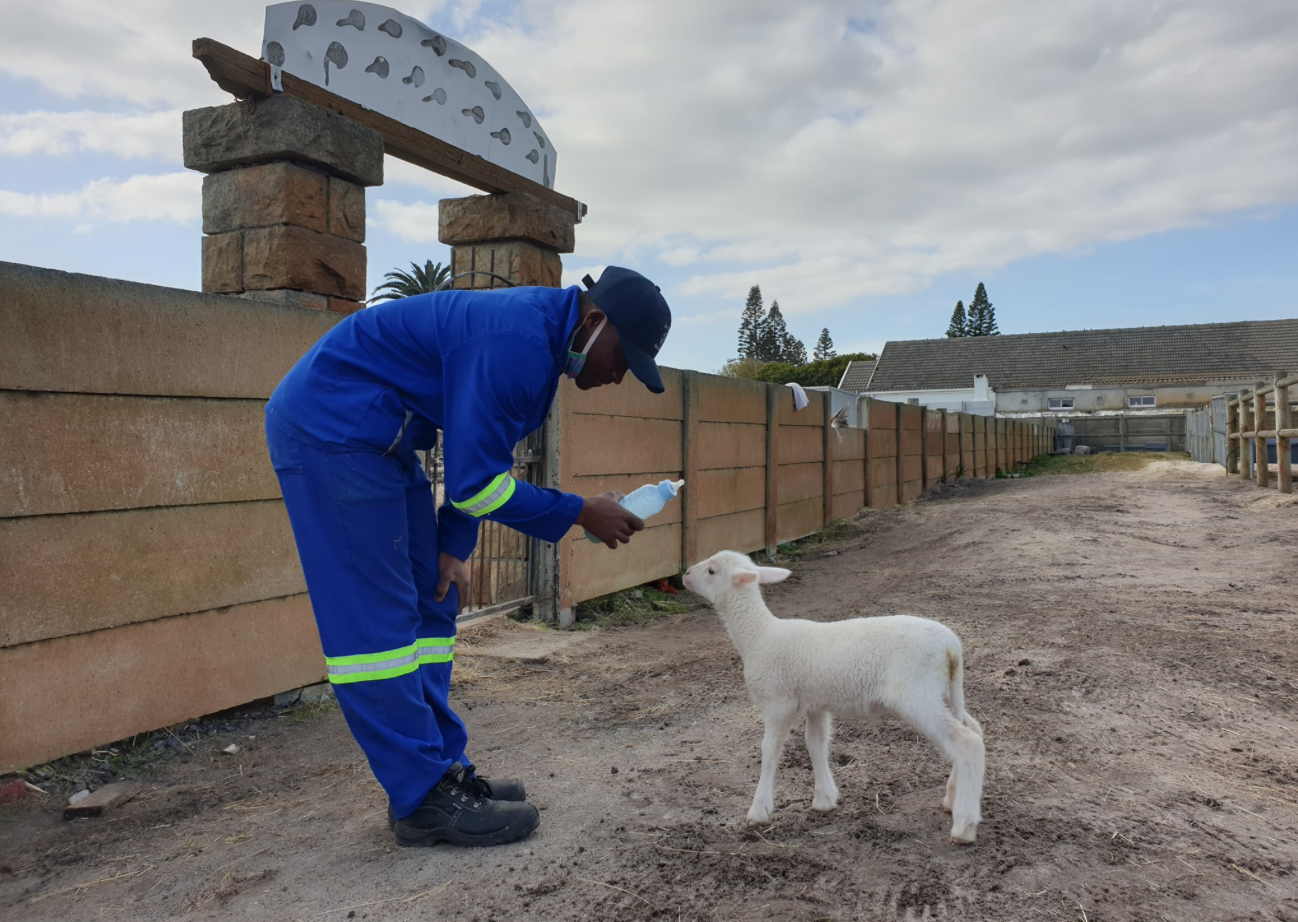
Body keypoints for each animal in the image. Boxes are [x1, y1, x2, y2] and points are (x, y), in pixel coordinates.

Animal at [680, 548, 981, 846]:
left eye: (712, 571)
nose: (685, 575)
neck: (759, 635)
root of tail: (952, 647)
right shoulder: (816, 704)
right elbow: (816, 743)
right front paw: (824, 799)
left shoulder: (778, 702)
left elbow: (769, 750)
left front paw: (759, 810)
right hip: (944, 691)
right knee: (973, 729)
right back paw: (952, 799)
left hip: (917, 693)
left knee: (967, 742)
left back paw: (964, 826)